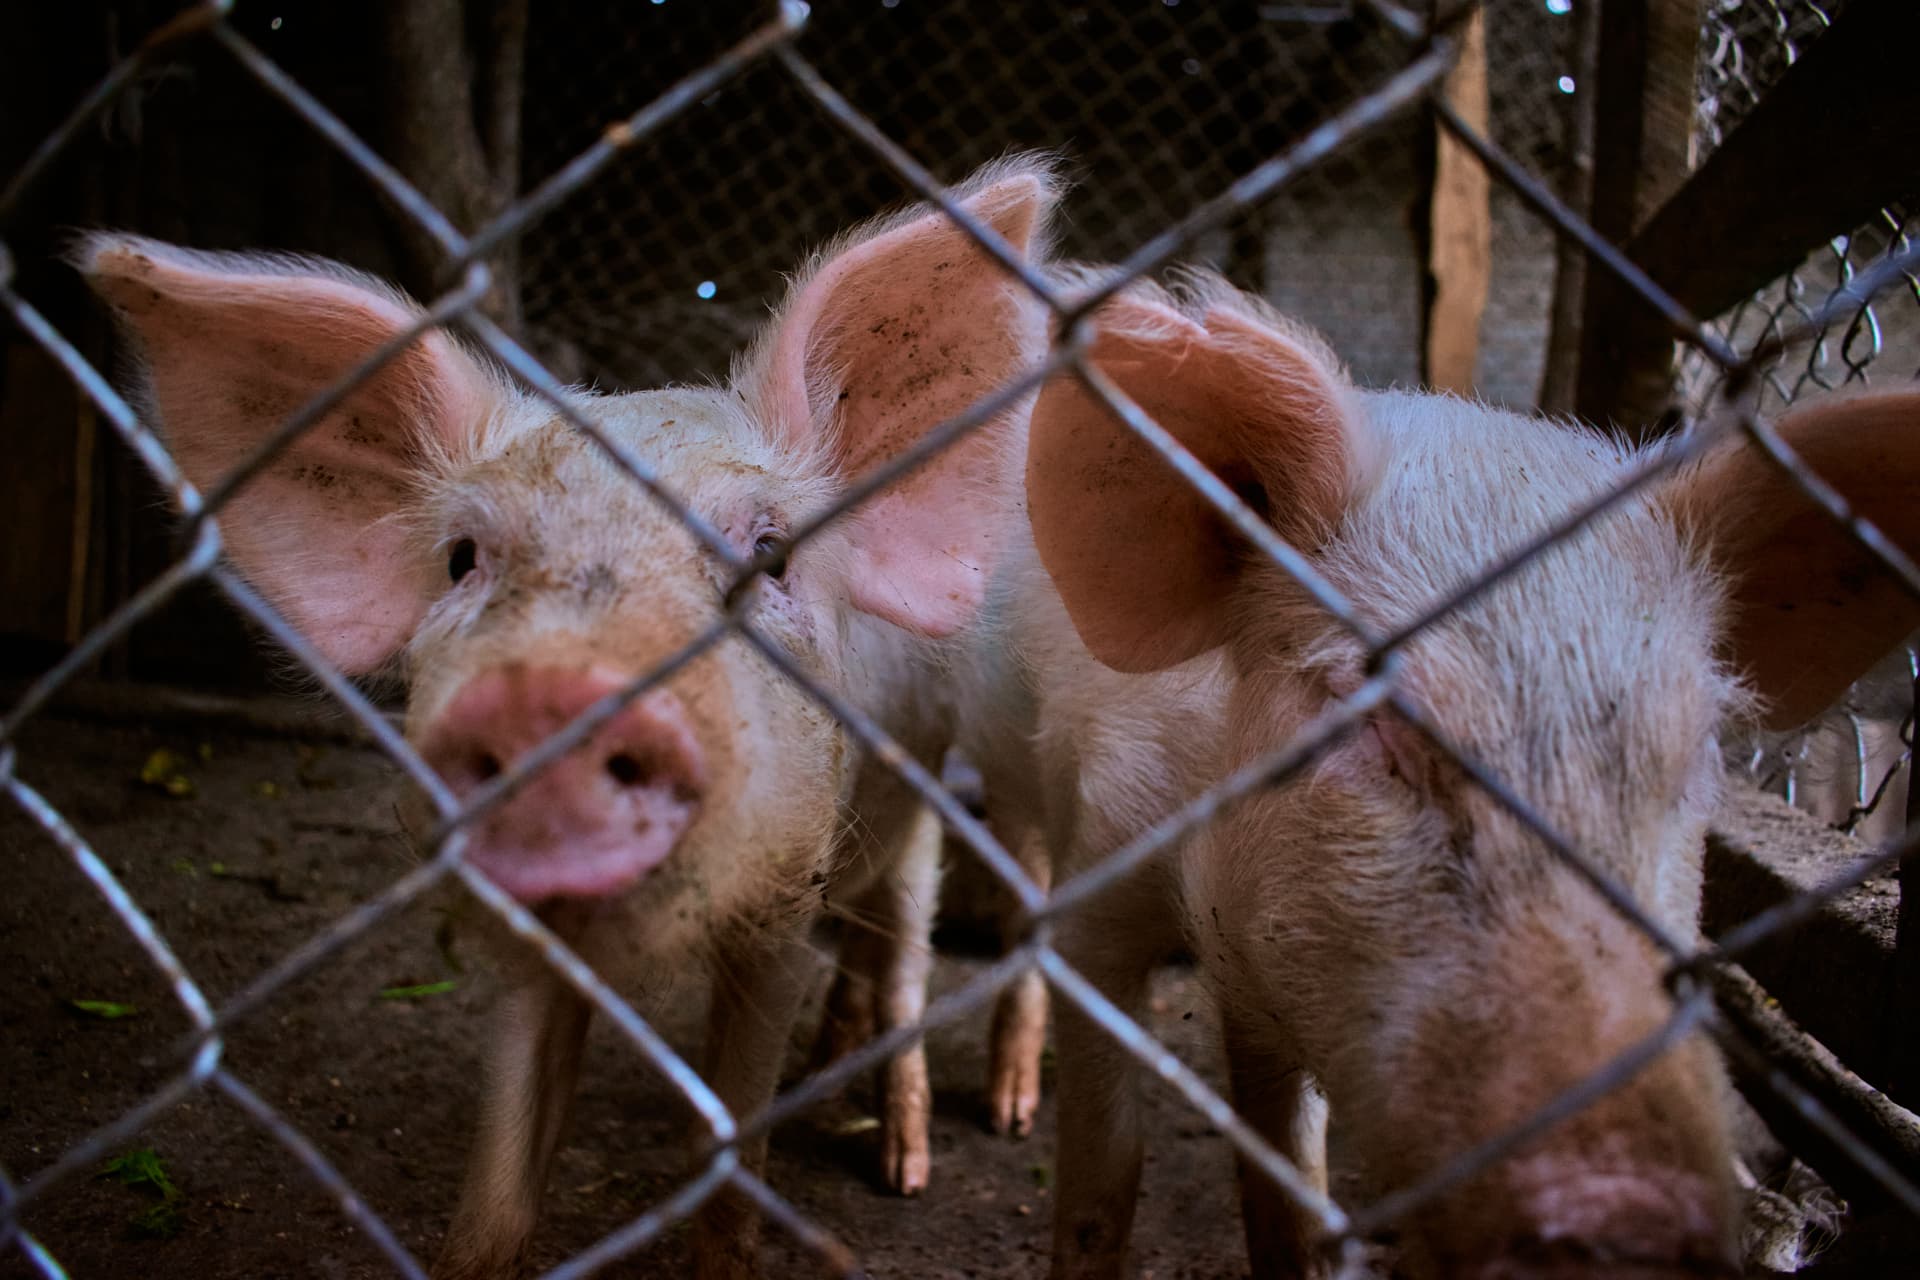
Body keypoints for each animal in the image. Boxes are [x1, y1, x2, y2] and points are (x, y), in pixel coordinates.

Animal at [75, 155, 1061, 1278]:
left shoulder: (784, 893)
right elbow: (497, 1195)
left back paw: (931, 1155)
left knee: (910, 948)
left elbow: (730, 1153)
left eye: (770, 555)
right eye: (462, 558)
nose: (548, 694)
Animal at [1006, 271, 1920, 1278]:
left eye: (1696, 751)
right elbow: (1104, 1176)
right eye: (1376, 722)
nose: (1629, 1219)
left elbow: (1293, 1177)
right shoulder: (1104, 859)